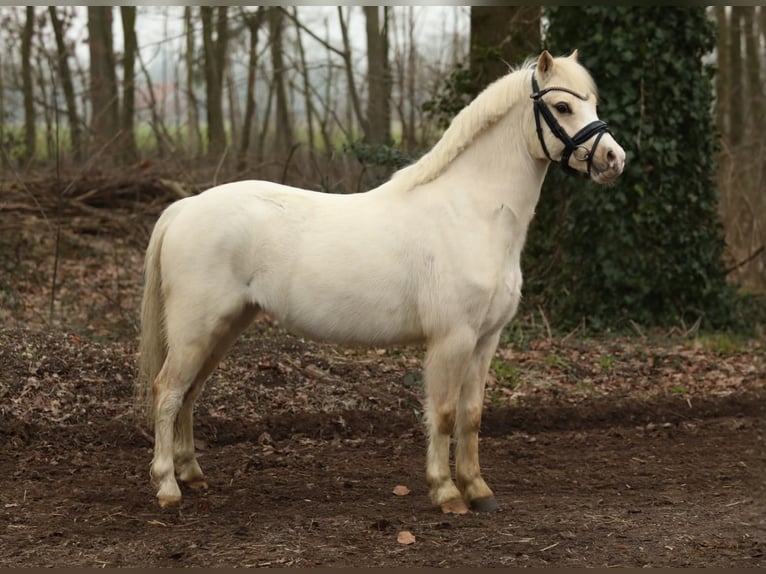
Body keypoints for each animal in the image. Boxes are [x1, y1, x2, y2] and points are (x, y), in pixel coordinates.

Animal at [138, 51, 628, 516]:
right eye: (562, 106)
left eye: (593, 103)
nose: (614, 159)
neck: (475, 213)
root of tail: (184, 207)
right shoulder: (452, 338)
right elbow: (443, 414)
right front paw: (447, 493)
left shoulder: (486, 339)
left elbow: (471, 415)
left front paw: (479, 491)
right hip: (196, 330)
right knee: (167, 392)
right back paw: (167, 487)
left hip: (222, 328)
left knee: (189, 394)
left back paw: (192, 475)